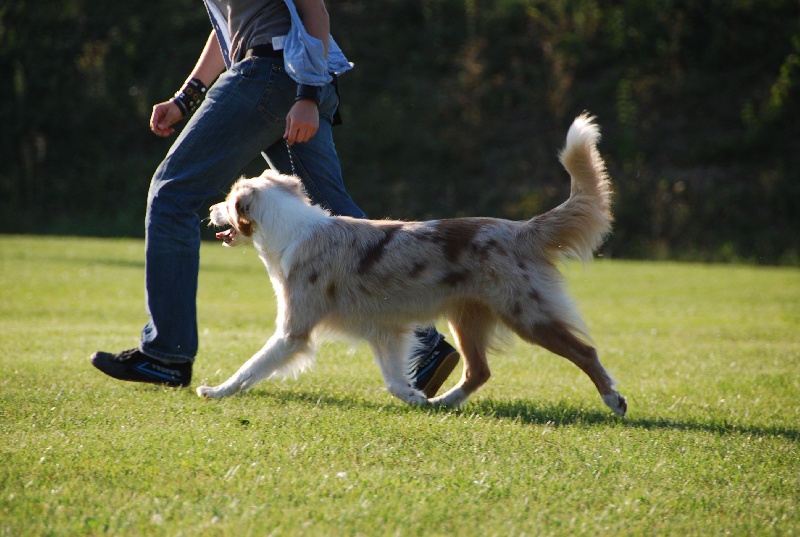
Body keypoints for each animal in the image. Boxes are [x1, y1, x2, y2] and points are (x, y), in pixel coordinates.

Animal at [198, 113, 624, 414]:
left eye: (228, 202)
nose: (208, 208)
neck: (287, 230)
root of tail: (521, 228)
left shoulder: (293, 331)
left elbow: (250, 367)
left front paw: (215, 390)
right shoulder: (384, 329)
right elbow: (393, 380)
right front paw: (415, 397)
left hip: (526, 314)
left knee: (585, 352)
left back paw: (613, 400)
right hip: (466, 317)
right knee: (478, 371)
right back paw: (443, 403)